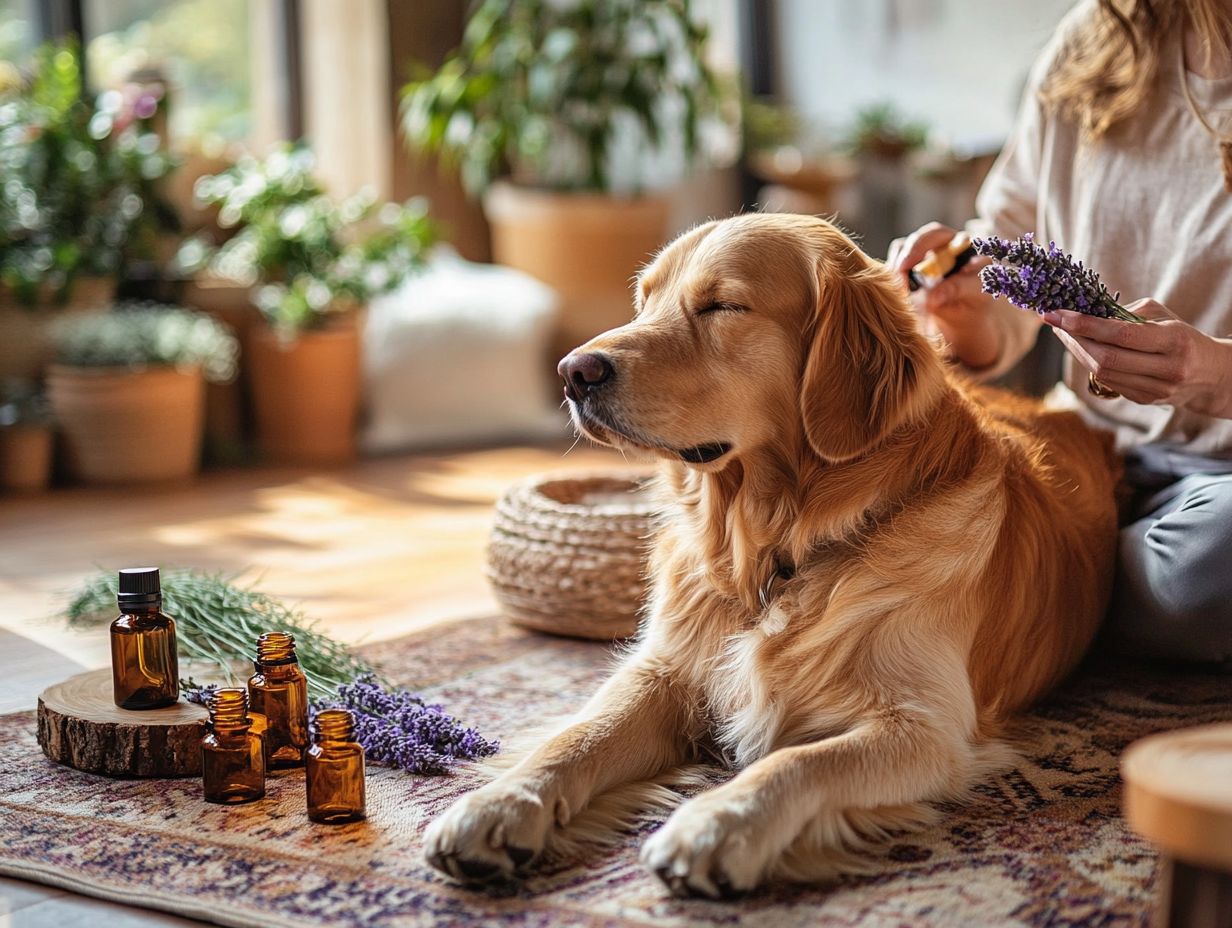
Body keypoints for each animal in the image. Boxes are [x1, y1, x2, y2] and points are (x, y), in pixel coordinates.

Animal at [418, 213, 1123, 892]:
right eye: (645, 302)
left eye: (723, 306)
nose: (573, 373)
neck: (775, 549)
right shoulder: (665, 669)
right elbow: (577, 736)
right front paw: (499, 804)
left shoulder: (928, 728)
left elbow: (801, 760)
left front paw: (717, 824)